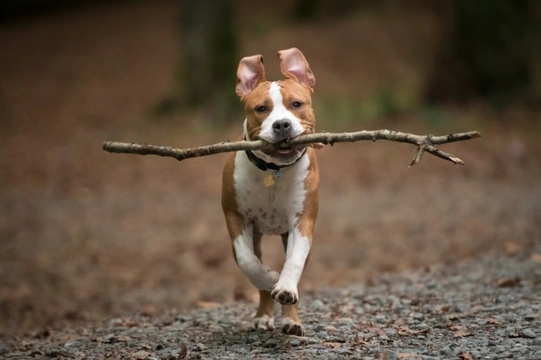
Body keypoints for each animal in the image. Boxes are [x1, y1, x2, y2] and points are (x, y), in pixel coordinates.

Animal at [221, 47, 318, 334]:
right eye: (261, 109)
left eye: (296, 104)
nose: (282, 124)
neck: (274, 172)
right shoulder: (236, 217)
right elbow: (248, 261)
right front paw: (268, 278)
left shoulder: (302, 222)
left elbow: (293, 262)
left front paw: (284, 288)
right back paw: (264, 314)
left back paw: (291, 319)